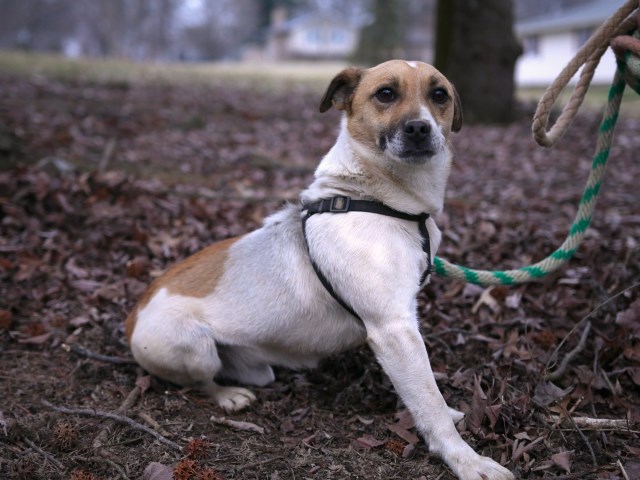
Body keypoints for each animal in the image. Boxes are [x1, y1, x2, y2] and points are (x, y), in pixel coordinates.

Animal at [125, 60, 516, 480]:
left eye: (439, 95)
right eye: (386, 94)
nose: (419, 129)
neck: (374, 199)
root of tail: (133, 315)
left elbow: (428, 398)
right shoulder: (394, 329)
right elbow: (429, 403)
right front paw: (467, 461)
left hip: (255, 366)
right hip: (196, 349)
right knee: (202, 381)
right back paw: (228, 396)